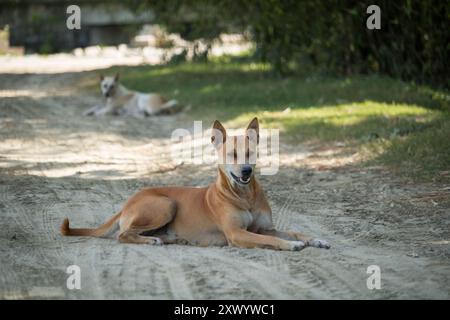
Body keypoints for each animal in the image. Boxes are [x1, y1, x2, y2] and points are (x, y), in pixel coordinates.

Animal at [61, 119, 330, 251]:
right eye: (231, 154)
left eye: (250, 153)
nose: (246, 170)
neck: (244, 195)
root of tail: (129, 202)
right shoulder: (237, 234)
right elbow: (275, 241)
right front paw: (292, 245)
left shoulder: (265, 228)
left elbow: (293, 231)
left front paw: (314, 239)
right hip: (165, 204)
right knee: (123, 234)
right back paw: (151, 241)